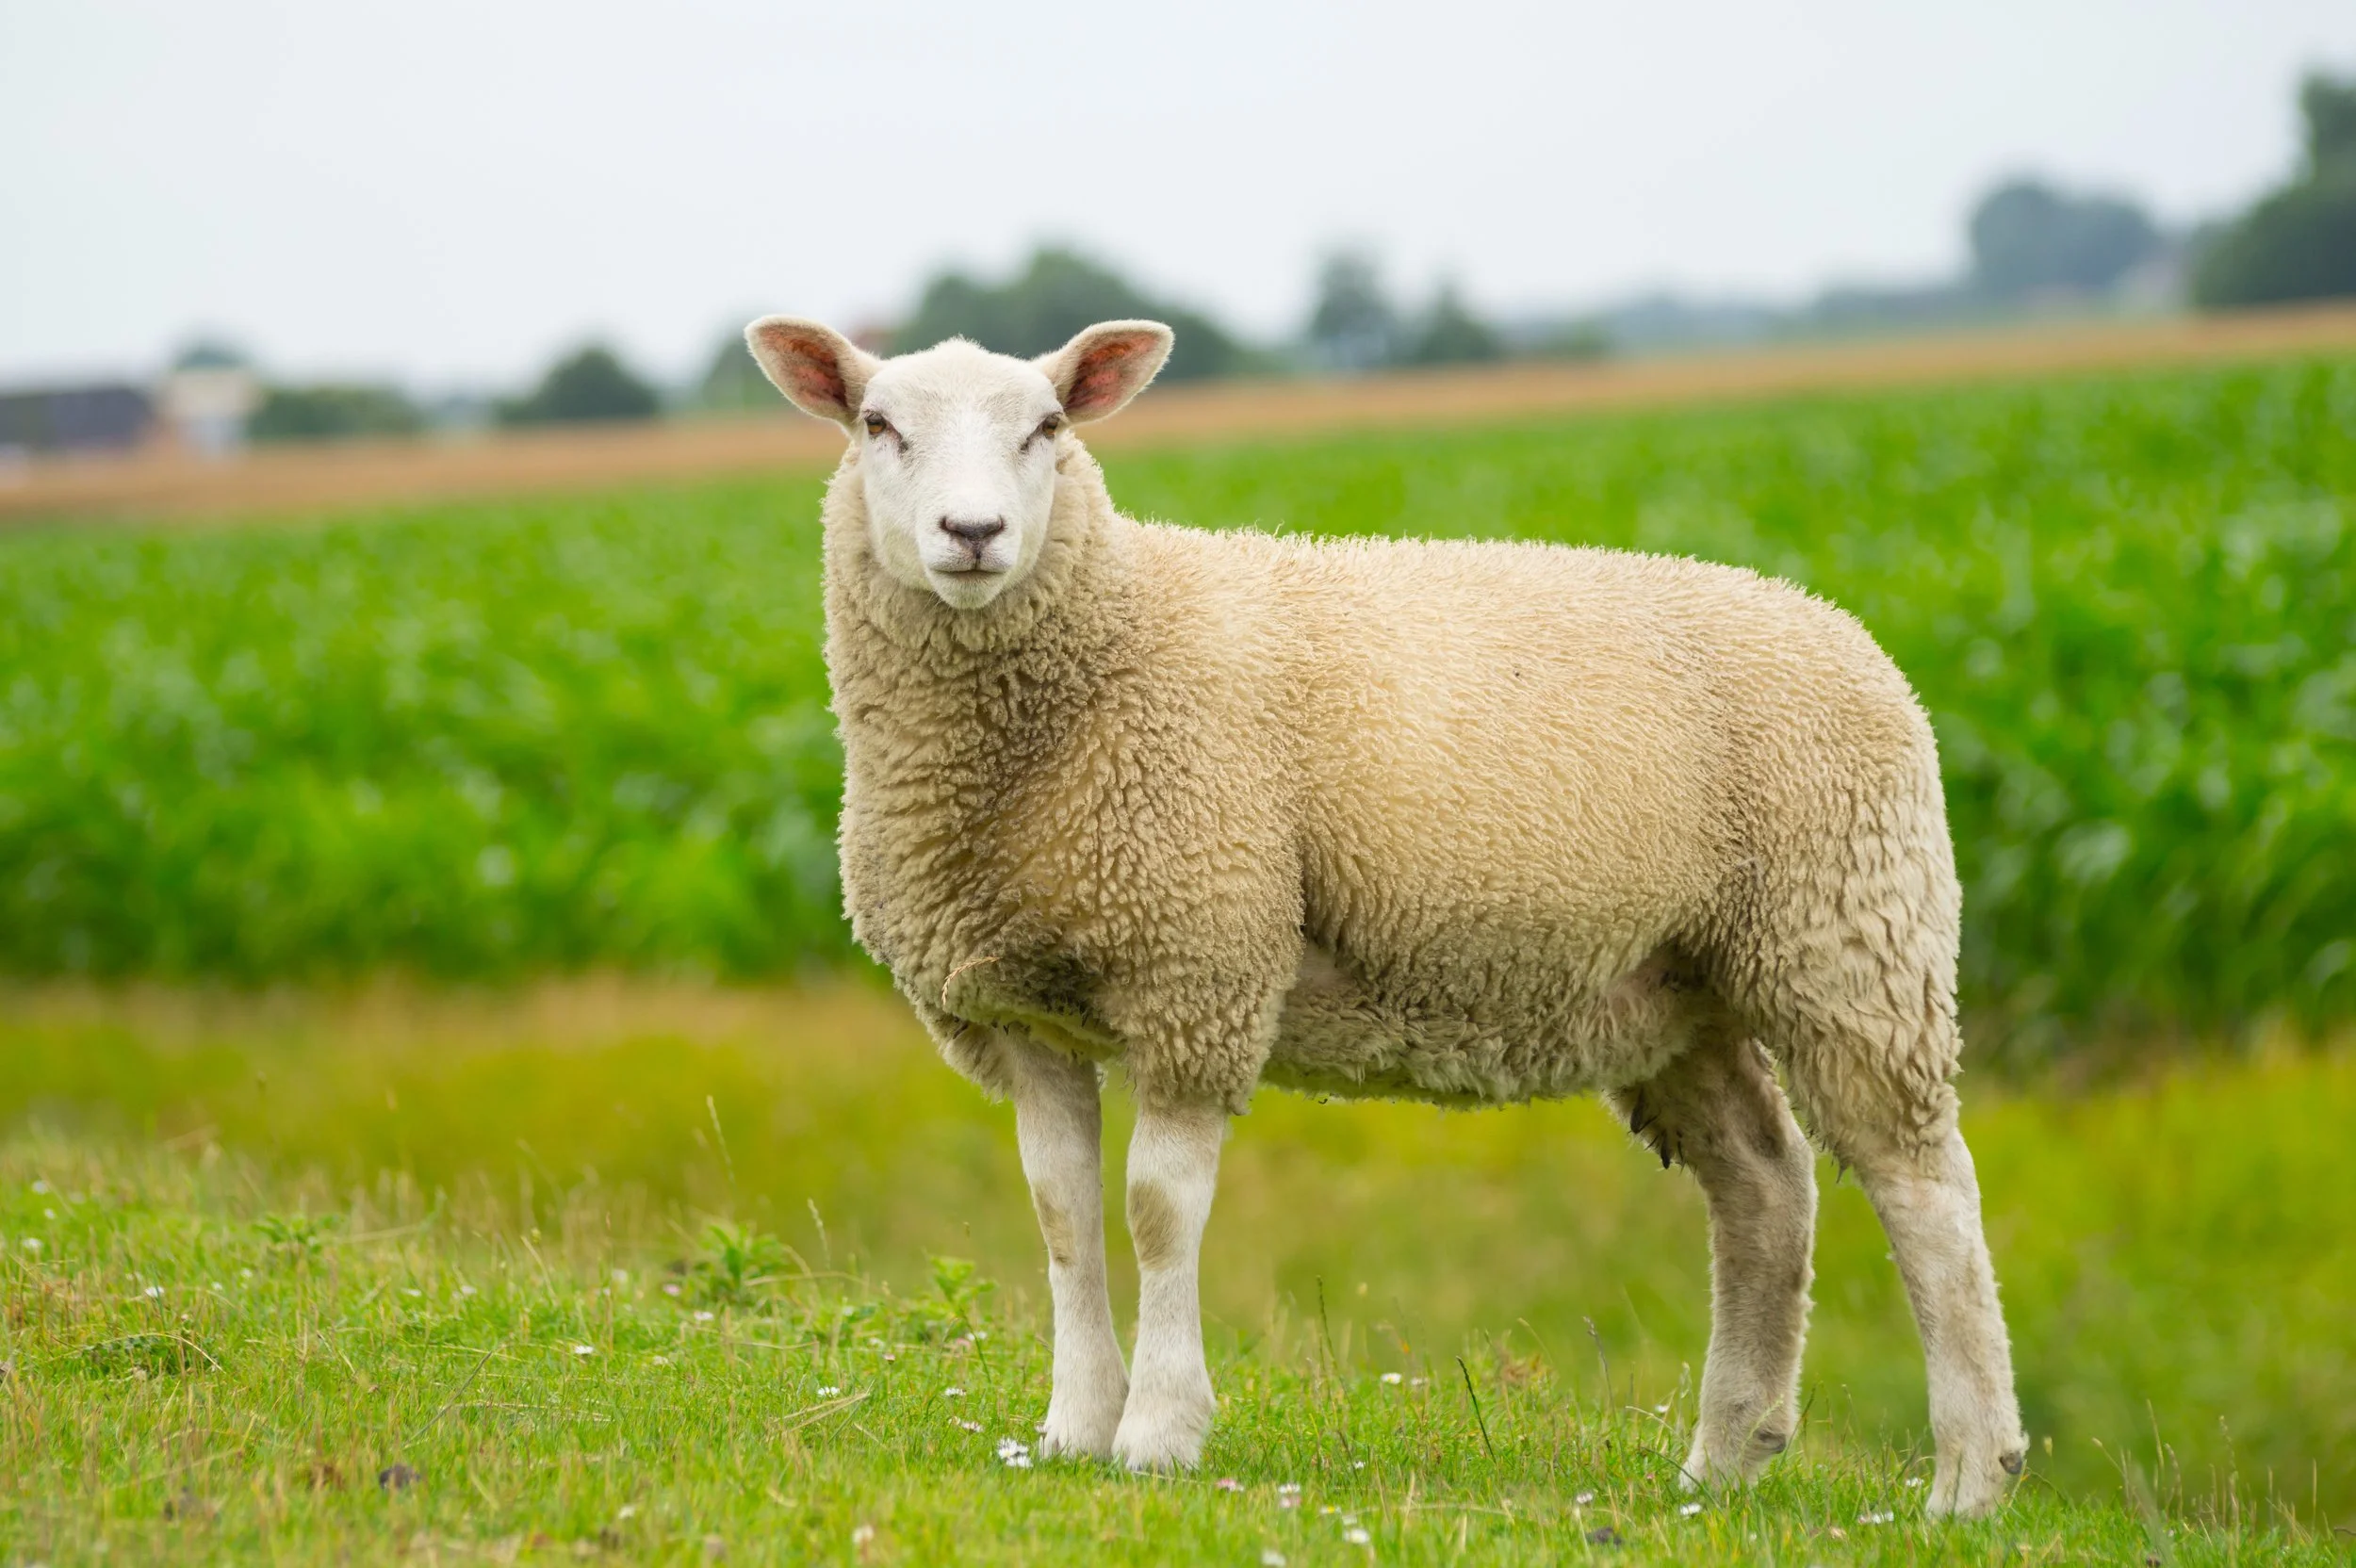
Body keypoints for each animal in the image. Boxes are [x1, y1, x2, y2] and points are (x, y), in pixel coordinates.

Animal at [743, 313, 2030, 1518]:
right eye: (877, 426)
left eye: (1048, 426)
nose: (972, 535)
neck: (1101, 649)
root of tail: (1849, 635)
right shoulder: (1027, 1011)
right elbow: (1062, 1211)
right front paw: (1072, 1427)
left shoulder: (1199, 965)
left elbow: (1157, 1210)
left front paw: (1158, 1431)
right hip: (1679, 988)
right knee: (1765, 1184)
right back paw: (1725, 1455)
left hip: (1847, 939)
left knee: (1928, 1193)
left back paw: (1969, 1475)